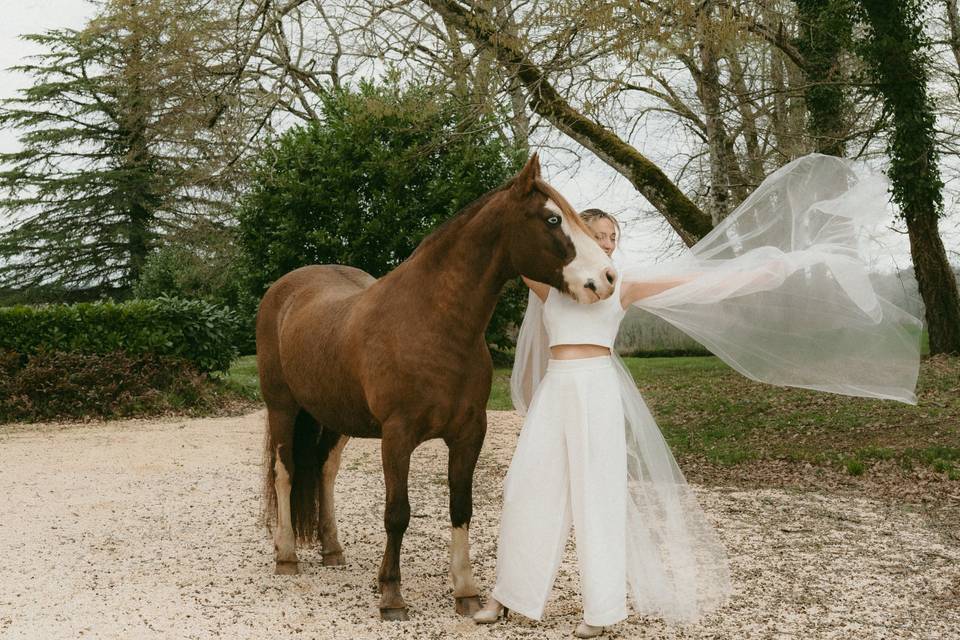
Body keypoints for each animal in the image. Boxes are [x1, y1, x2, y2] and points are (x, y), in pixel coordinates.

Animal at [256, 154, 617, 621]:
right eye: (553, 218)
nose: (606, 278)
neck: (433, 323)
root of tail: (283, 290)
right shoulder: (397, 436)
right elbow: (397, 513)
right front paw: (391, 595)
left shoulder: (469, 433)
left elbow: (461, 506)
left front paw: (465, 590)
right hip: (282, 407)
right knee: (285, 472)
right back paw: (286, 555)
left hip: (334, 416)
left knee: (323, 471)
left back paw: (331, 549)